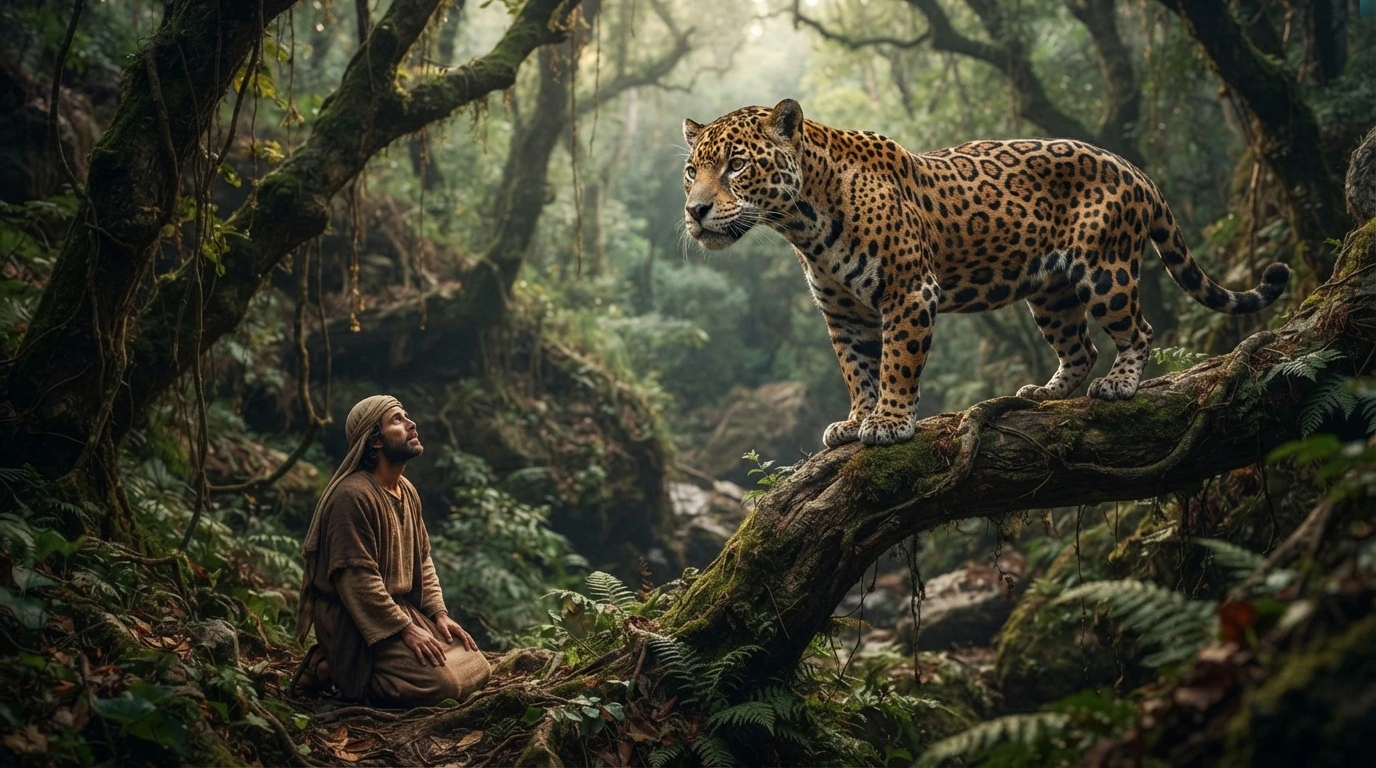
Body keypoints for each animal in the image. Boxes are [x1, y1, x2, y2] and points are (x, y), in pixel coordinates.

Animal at [681, 99, 1291, 448]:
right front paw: (855, 421)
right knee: (1081, 347)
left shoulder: (909, 293)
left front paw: (889, 422)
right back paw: (1044, 394)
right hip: (1051, 293)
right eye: (692, 170)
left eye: (737, 165)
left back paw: (1118, 385)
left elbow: (897, 363)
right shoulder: (843, 313)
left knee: (1137, 330)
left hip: (1106, 271)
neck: (802, 220)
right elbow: (857, 370)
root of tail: (1134, 169)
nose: (695, 210)